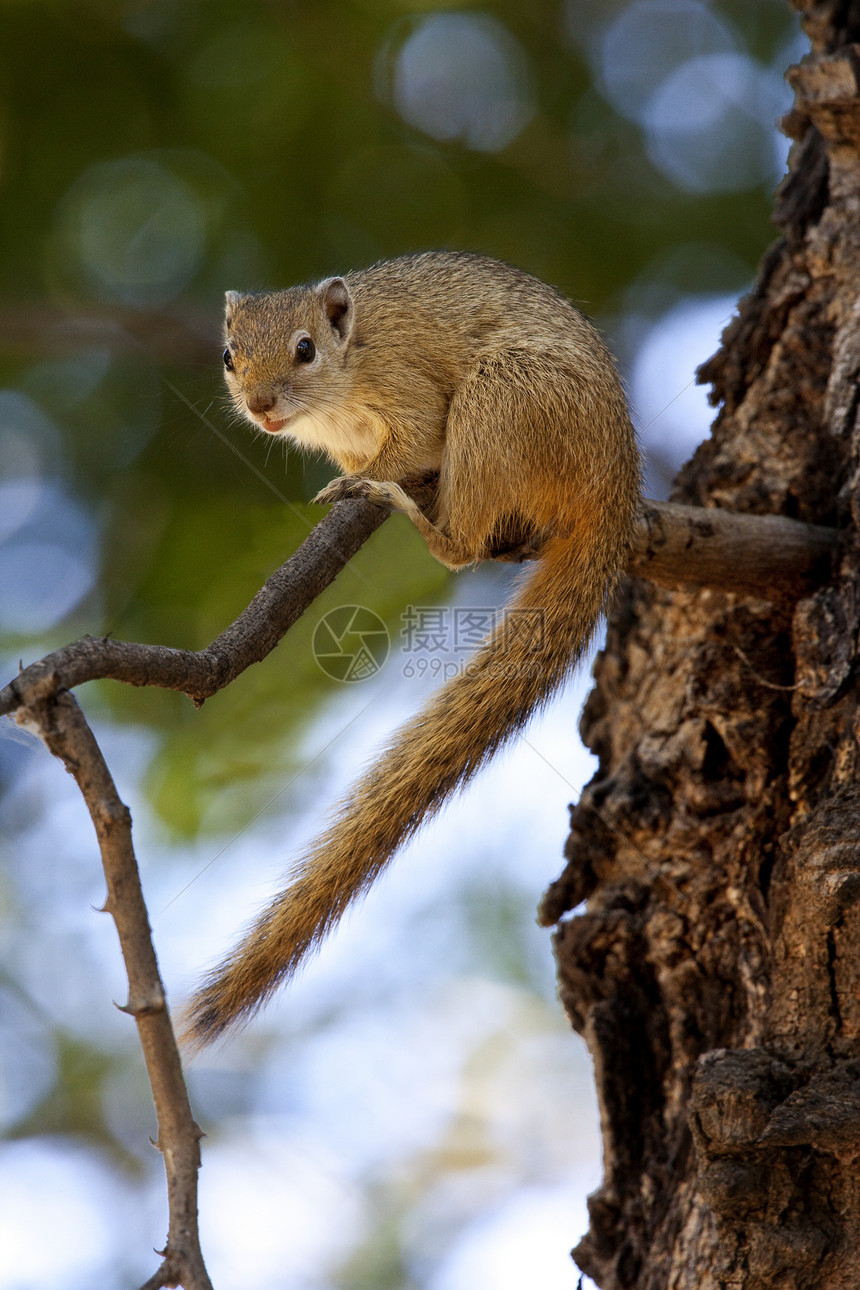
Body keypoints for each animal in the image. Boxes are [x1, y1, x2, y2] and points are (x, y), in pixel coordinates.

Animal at [183, 248, 639, 1047]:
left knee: (461, 548)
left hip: (501, 402)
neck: (348, 369)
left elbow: (414, 441)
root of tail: (613, 487)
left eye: (306, 349)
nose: (262, 407)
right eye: (230, 355)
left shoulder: (408, 392)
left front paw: (367, 483)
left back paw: (407, 508)